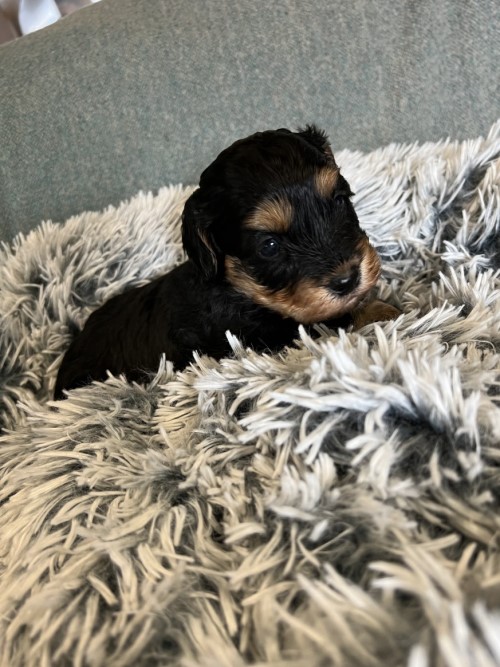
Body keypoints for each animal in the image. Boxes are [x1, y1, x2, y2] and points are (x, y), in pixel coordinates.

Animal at [53, 127, 398, 400]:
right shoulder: (262, 339)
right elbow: (334, 323)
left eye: (339, 201)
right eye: (269, 246)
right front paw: (385, 311)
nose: (347, 279)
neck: (239, 288)